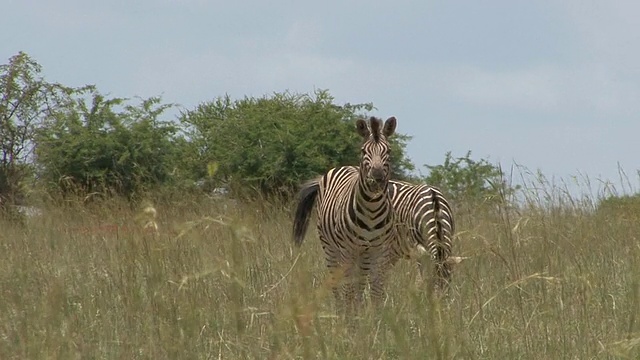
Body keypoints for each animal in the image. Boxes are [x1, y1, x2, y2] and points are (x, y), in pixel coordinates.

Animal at [292, 116, 412, 312]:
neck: (371, 211)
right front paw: (350, 318)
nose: (377, 177)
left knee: (359, 283)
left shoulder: (379, 251)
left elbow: (375, 292)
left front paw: (374, 318)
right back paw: (341, 312)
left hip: (363, 255)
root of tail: (343, 166)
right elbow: (348, 290)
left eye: (389, 150)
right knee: (337, 282)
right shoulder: (347, 250)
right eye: (363, 151)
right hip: (331, 248)